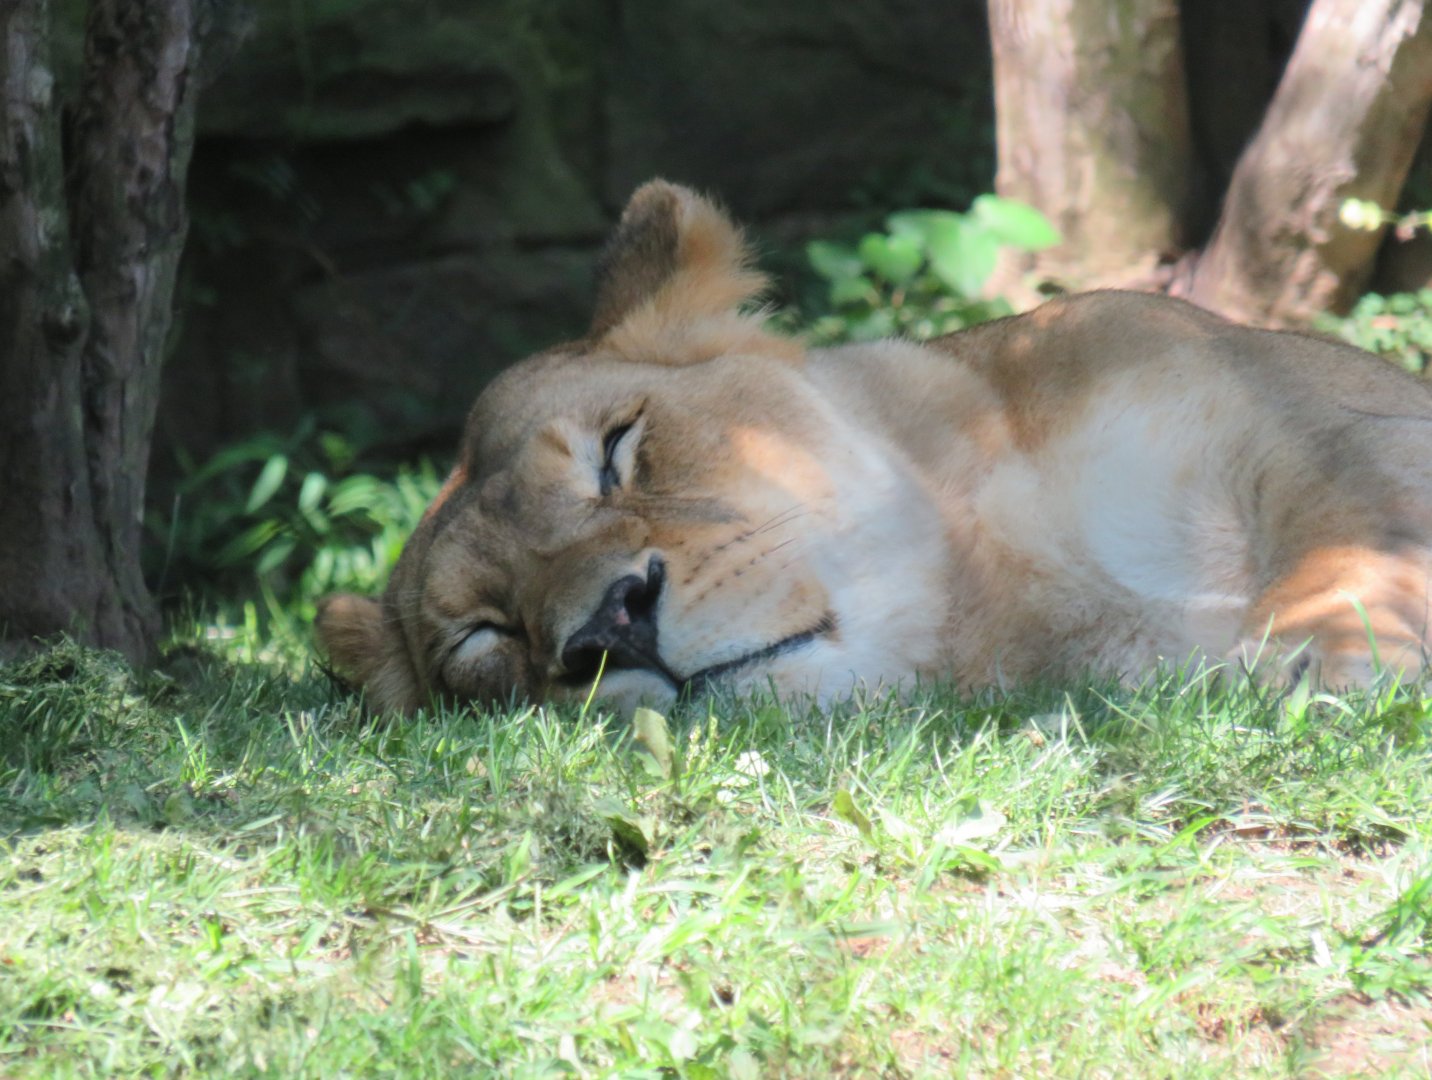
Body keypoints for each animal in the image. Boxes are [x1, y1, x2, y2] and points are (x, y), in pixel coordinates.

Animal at [316, 180, 1432, 714]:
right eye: (483, 639)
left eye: (615, 452)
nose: (610, 630)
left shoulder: (1319, 419)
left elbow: (1358, 530)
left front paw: (1318, 660)